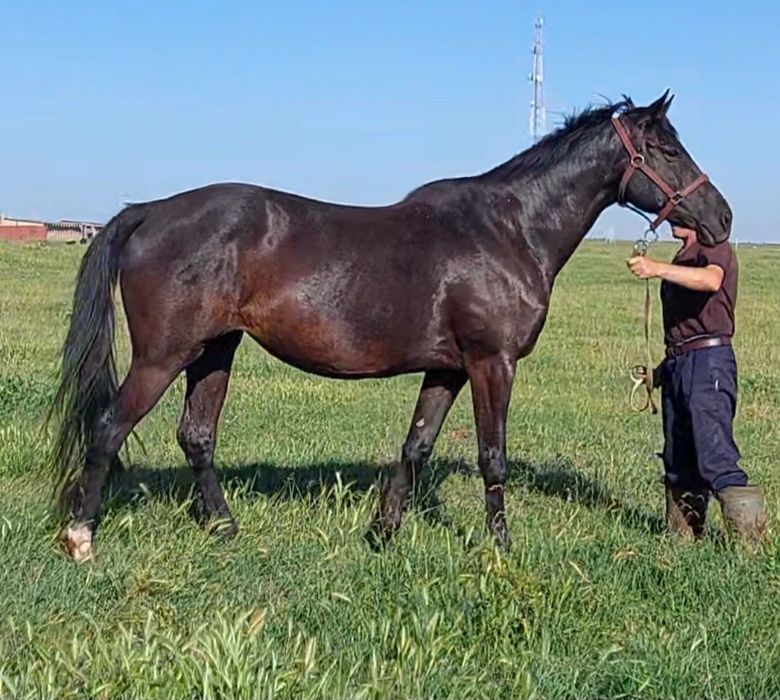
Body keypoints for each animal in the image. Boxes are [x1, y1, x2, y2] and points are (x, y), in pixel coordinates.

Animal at [48, 92, 732, 561]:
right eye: (668, 150)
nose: (722, 217)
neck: (510, 230)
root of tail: (148, 211)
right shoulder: (492, 363)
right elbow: (491, 456)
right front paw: (502, 547)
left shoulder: (448, 369)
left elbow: (416, 446)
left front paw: (383, 533)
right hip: (164, 355)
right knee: (110, 426)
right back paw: (81, 536)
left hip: (215, 349)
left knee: (196, 436)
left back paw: (224, 527)